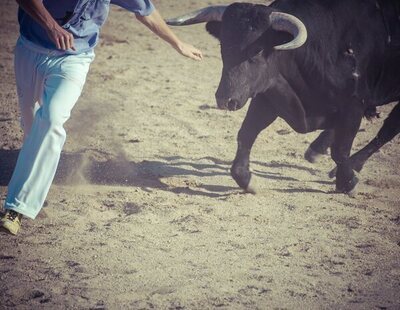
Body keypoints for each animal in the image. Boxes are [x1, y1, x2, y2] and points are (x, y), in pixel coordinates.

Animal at [167, 0, 400, 194]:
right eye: (222, 46)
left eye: (257, 51)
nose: (225, 100)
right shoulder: (267, 97)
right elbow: (245, 135)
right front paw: (246, 179)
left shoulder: (353, 106)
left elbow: (340, 151)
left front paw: (348, 182)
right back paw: (318, 150)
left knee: (388, 129)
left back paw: (351, 165)